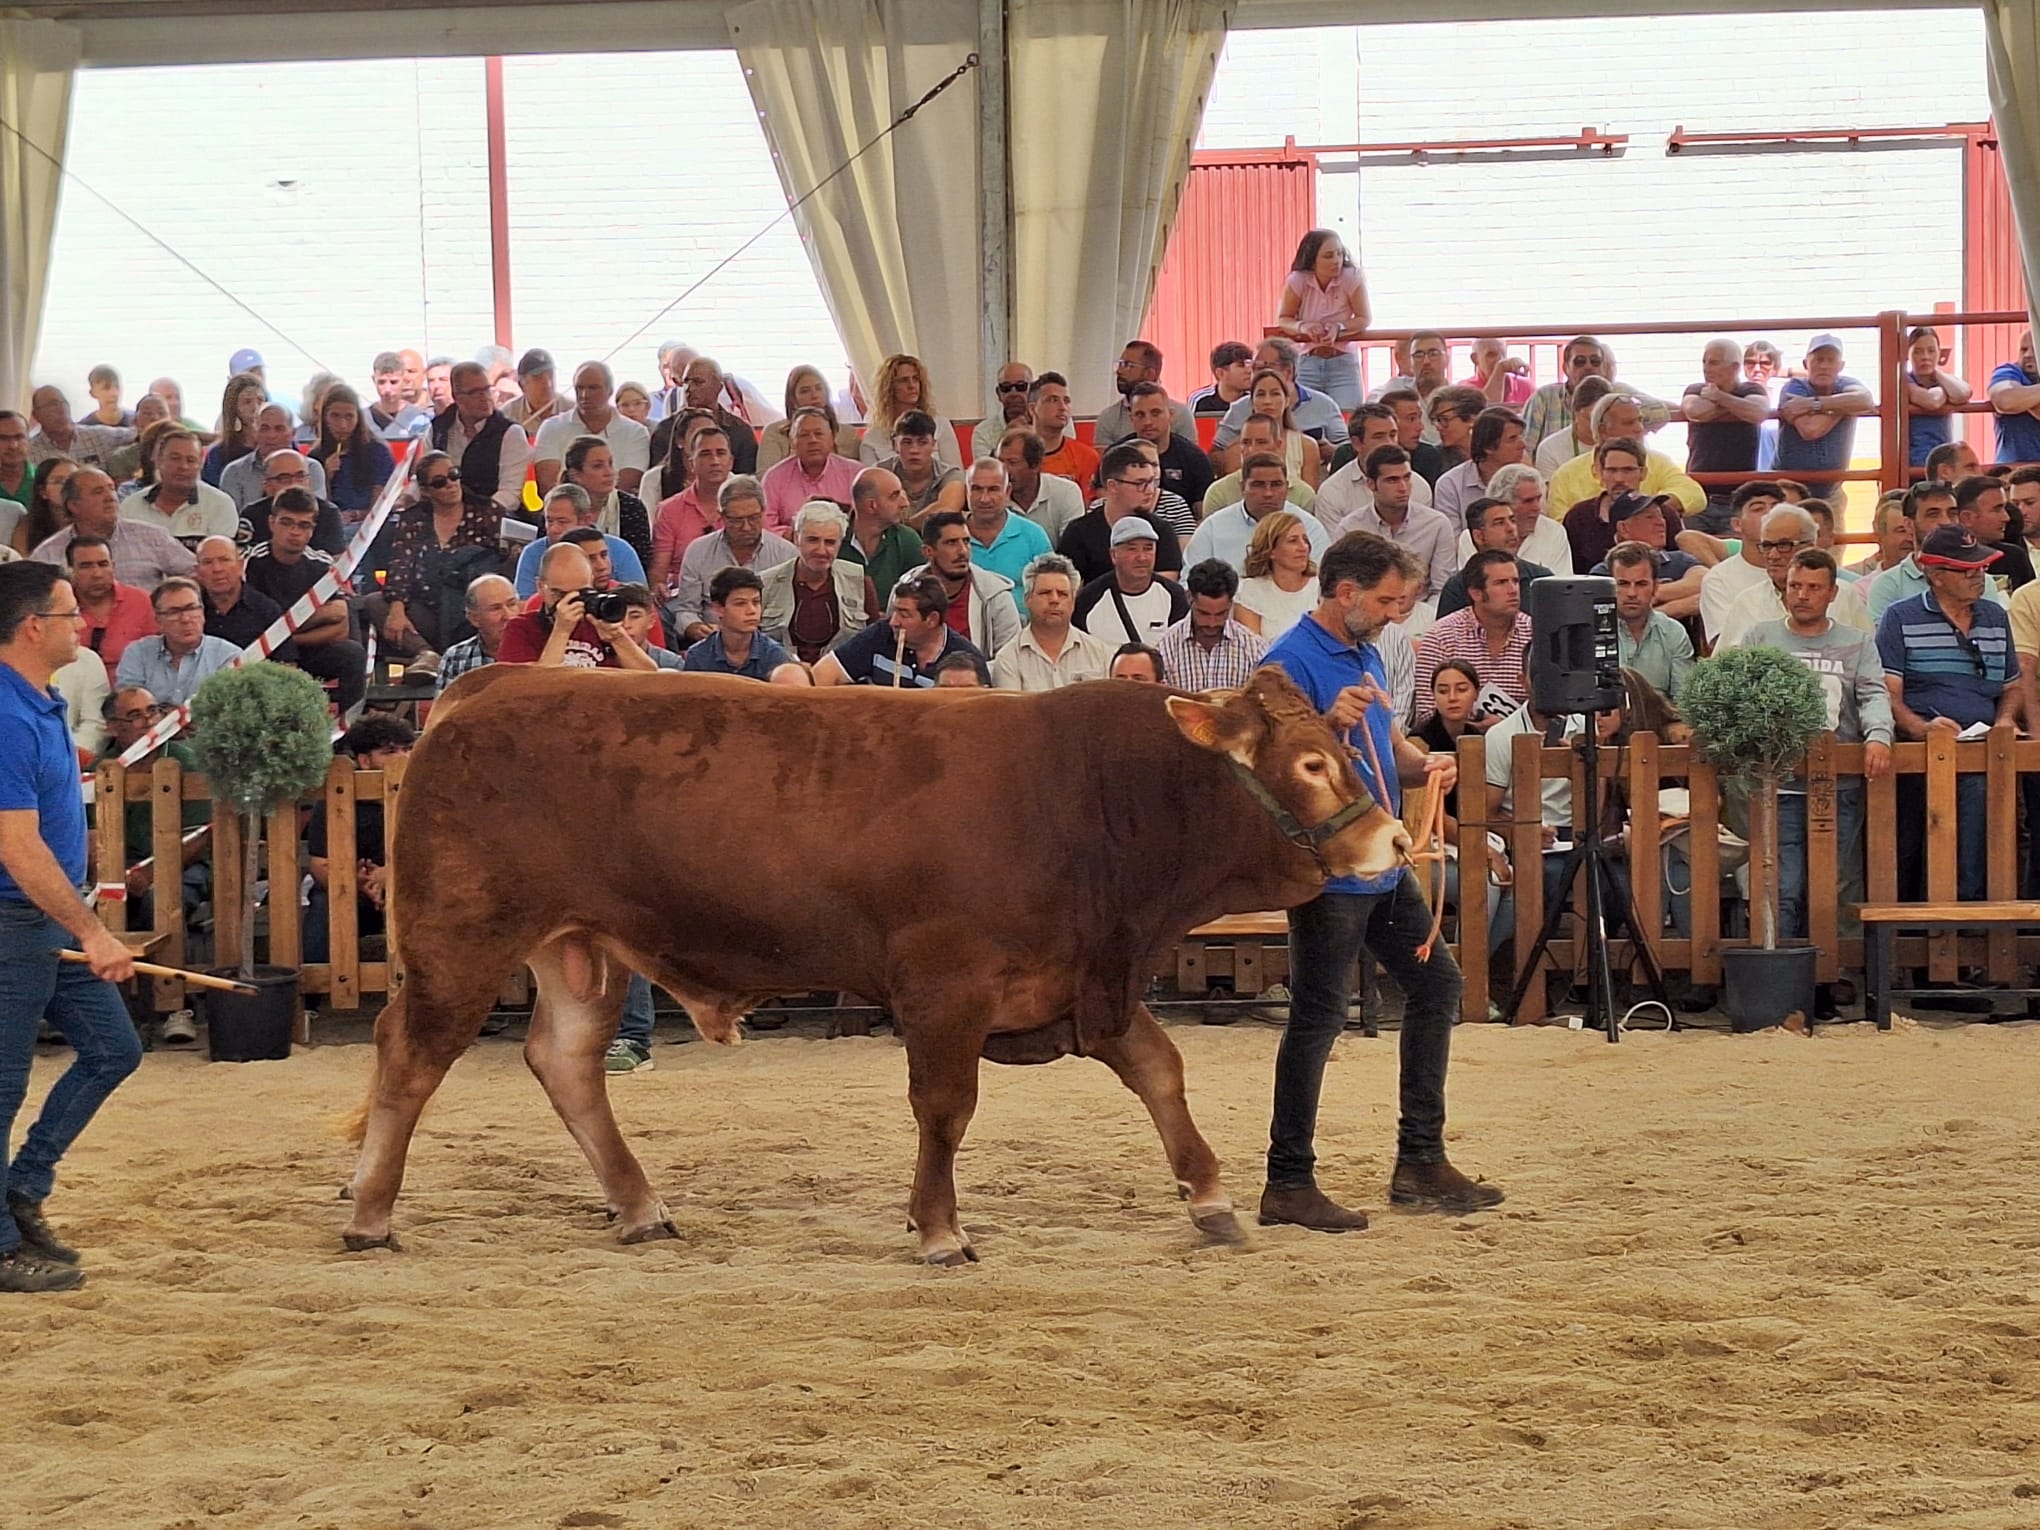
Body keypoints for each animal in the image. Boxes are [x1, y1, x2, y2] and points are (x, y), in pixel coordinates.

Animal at [342, 669, 1411, 1272]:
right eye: (1312, 764)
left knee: (564, 1064)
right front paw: (940, 1231)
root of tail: (483, 690)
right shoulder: (946, 987)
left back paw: (642, 1207)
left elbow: (1159, 1072)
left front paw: (1212, 1200)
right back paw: (368, 1213)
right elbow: (945, 1108)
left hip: (580, 950)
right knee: (410, 1055)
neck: (1088, 795)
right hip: (460, 940)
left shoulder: (1085, 982)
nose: (1398, 841)